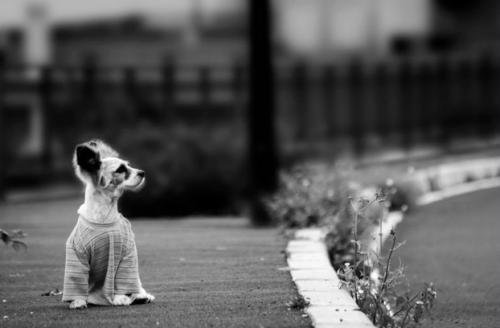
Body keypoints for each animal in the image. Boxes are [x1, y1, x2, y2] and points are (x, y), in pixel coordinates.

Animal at [63, 140, 155, 308]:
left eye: (128, 165)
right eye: (121, 169)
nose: (142, 172)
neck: (102, 218)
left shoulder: (126, 255)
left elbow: (122, 281)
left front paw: (121, 297)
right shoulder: (77, 254)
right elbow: (77, 281)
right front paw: (78, 301)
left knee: (136, 286)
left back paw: (140, 296)